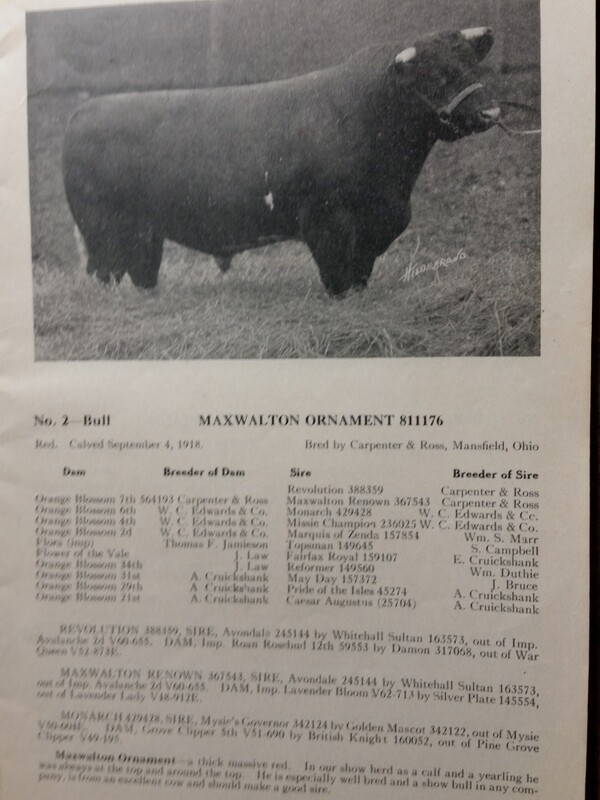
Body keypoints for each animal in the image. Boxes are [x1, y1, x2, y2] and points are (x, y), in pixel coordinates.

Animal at [62, 27, 500, 296]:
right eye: (438, 74)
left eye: (473, 65)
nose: (491, 113)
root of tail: (86, 110)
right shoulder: (328, 219)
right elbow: (338, 273)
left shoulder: (379, 221)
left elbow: (360, 272)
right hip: (102, 226)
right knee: (107, 272)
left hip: (144, 230)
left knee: (142, 270)